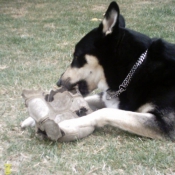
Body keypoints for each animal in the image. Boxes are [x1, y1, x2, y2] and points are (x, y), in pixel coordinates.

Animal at [57, 1, 175, 141]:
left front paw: (69, 124)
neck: (135, 69)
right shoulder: (105, 97)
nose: (58, 82)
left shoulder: (165, 124)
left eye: (76, 56)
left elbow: (105, 111)